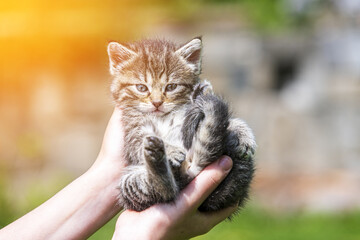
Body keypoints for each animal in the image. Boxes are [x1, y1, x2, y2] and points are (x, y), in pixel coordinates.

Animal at [107, 36, 256, 213]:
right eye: (141, 88)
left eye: (171, 87)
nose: (157, 103)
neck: (163, 117)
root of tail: (189, 174)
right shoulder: (132, 133)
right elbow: (139, 143)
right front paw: (171, 151)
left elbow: (229, 121)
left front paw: (243, 134)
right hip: (129, 183)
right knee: (167, 191)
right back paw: (157, 156)